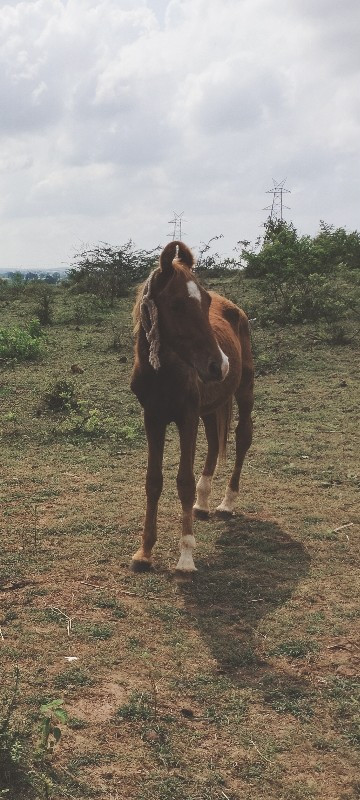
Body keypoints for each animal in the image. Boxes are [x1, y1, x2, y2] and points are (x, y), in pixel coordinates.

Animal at [129, 241, 253, 572]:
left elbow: (183, 481)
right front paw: (144, 552)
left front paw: (185, 557)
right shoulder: (153, 418)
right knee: (213, 444)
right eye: (176, 305)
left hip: (244, 391)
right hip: (208, 409)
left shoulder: (186, 417)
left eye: (205, 301)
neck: (164, 373)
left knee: (243, 437)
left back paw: (226, 503)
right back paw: (203, 503)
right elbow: (153, 481)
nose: (220, 365)